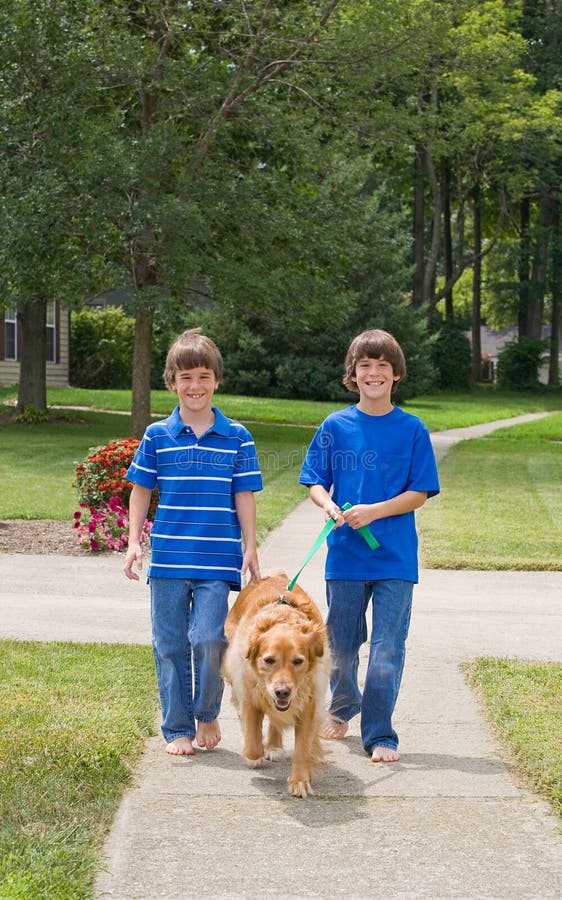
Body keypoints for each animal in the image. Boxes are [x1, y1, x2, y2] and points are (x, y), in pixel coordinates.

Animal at [221, 572, 328, 800]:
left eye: (298, 661)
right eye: (269, 660)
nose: (282, 692)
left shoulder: (308, 704)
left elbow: (302, 748)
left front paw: (299, 781)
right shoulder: (250, 695)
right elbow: (252, 744)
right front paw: (255, 756)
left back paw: (274, 746)